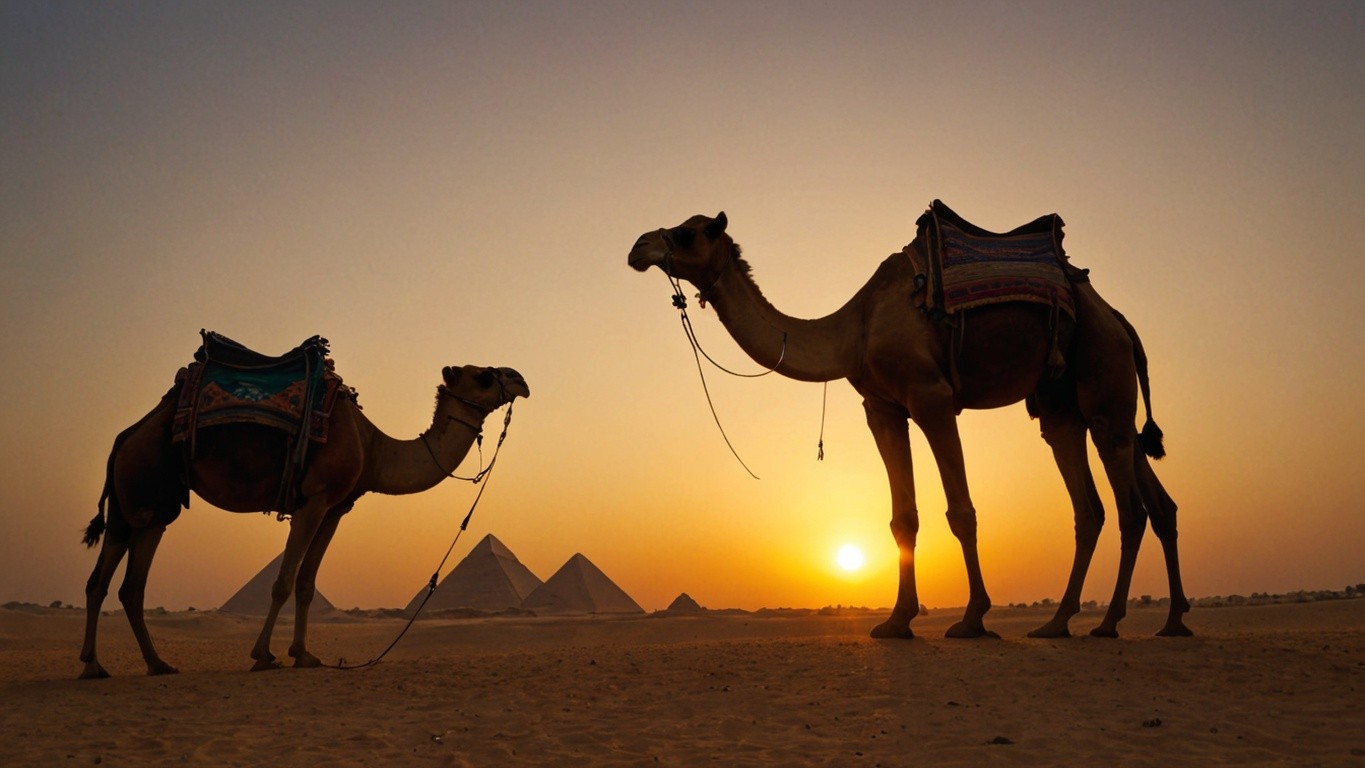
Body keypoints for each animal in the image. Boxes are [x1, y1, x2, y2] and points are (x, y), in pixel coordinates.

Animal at [80, 362, 529, 678]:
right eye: (484, 376)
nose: (521, 380)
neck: (373, 446)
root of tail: (124, 437)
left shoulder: (335, 508)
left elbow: (306, 584)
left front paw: (304, 654)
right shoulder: (312, 502)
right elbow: (282, 581)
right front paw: (264, 654)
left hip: (133, 508)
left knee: (109, 583)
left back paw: (113, 665)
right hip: (149, 496)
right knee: (127, 584)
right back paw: (135, 664)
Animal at [628, 211, 1189, 639]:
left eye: (689, 233)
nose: (638, 245)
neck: (856, 328)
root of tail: (1120, 320)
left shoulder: (931, 398)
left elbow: (961, 511)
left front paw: (972, 619)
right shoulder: (883, 409)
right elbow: (904, 518)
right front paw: (896, 622)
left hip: (1103, 379)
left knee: (1129, 508)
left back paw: (1109, 623)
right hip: (1066, 407)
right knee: (1108, 504)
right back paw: (1111, 623)